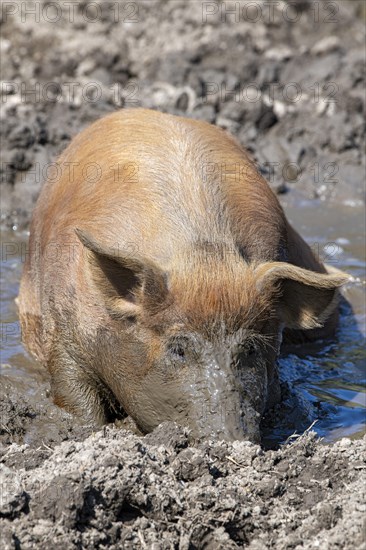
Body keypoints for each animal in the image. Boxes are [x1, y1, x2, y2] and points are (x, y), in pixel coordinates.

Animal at [17, 109, 348, 444]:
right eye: (178, 348)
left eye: (250, 348)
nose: (229, 440)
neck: (202, 259)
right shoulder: (65, 324)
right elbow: (76, 394)